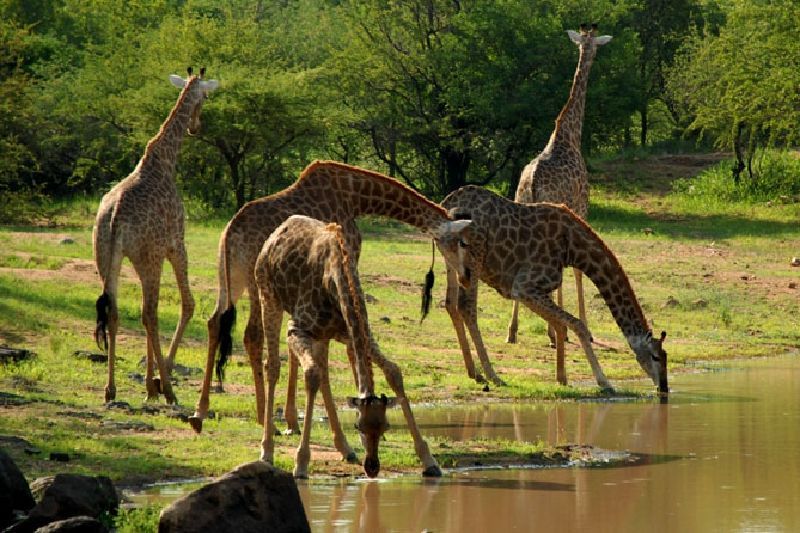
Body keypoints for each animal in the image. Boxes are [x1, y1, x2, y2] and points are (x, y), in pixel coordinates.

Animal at [93, 67, 219, 404]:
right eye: (206, 96)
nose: (195, 127)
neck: (164, 159)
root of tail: (115, 217)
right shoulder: (176, 245)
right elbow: (187, 304)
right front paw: (160, 381)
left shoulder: (145, 256)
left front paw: (150, 385)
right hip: (150, 258)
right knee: (149, 313)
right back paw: (170, 390)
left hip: (108, 257)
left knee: (116, 311)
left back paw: (111, 389)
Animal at [190, 161, 468, 432]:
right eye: (460, 242)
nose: (465, 275)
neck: (357, 197)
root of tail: (230, 232)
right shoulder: (348, 256)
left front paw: (293, 419)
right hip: (254, 282)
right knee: (252, 335)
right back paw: (261, 418)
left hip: (230, 278)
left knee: (215, 322)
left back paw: (200, 412)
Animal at [256, 216, 468, 478]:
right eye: (358, 426)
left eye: (386, 426)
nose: (373, 467)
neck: (336, 279)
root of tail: (279, 231)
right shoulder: (296, 328)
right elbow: (311, 374)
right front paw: (301, 463)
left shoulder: (355, 334)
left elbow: (393, 372)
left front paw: (428, 460)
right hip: (268, 298)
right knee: (274, 365)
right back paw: (266, 451)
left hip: (323, 335)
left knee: (324, 374)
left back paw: (345, 448)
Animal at [440, 185, 672, 392]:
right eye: (655, 356)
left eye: (665, 356)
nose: (663, 387)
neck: (573, 248)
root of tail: (447, 204)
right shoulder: (524, 287)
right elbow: (578, 325)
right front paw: (604, 381)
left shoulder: (536, 289)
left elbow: (560, 324)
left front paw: (562, 378)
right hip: (474, 258)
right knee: (467, 307)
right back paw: (493, 375)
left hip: (453, 261)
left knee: (451, 304)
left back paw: (474, 372)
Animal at [506, 22, 612, 374]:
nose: (591, 52)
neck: (569, 135)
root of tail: (531, 183)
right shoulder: (581, 206)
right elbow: (576, 270)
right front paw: (578, 328)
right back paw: (552, 332)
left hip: (522, 208)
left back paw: (514, 332)